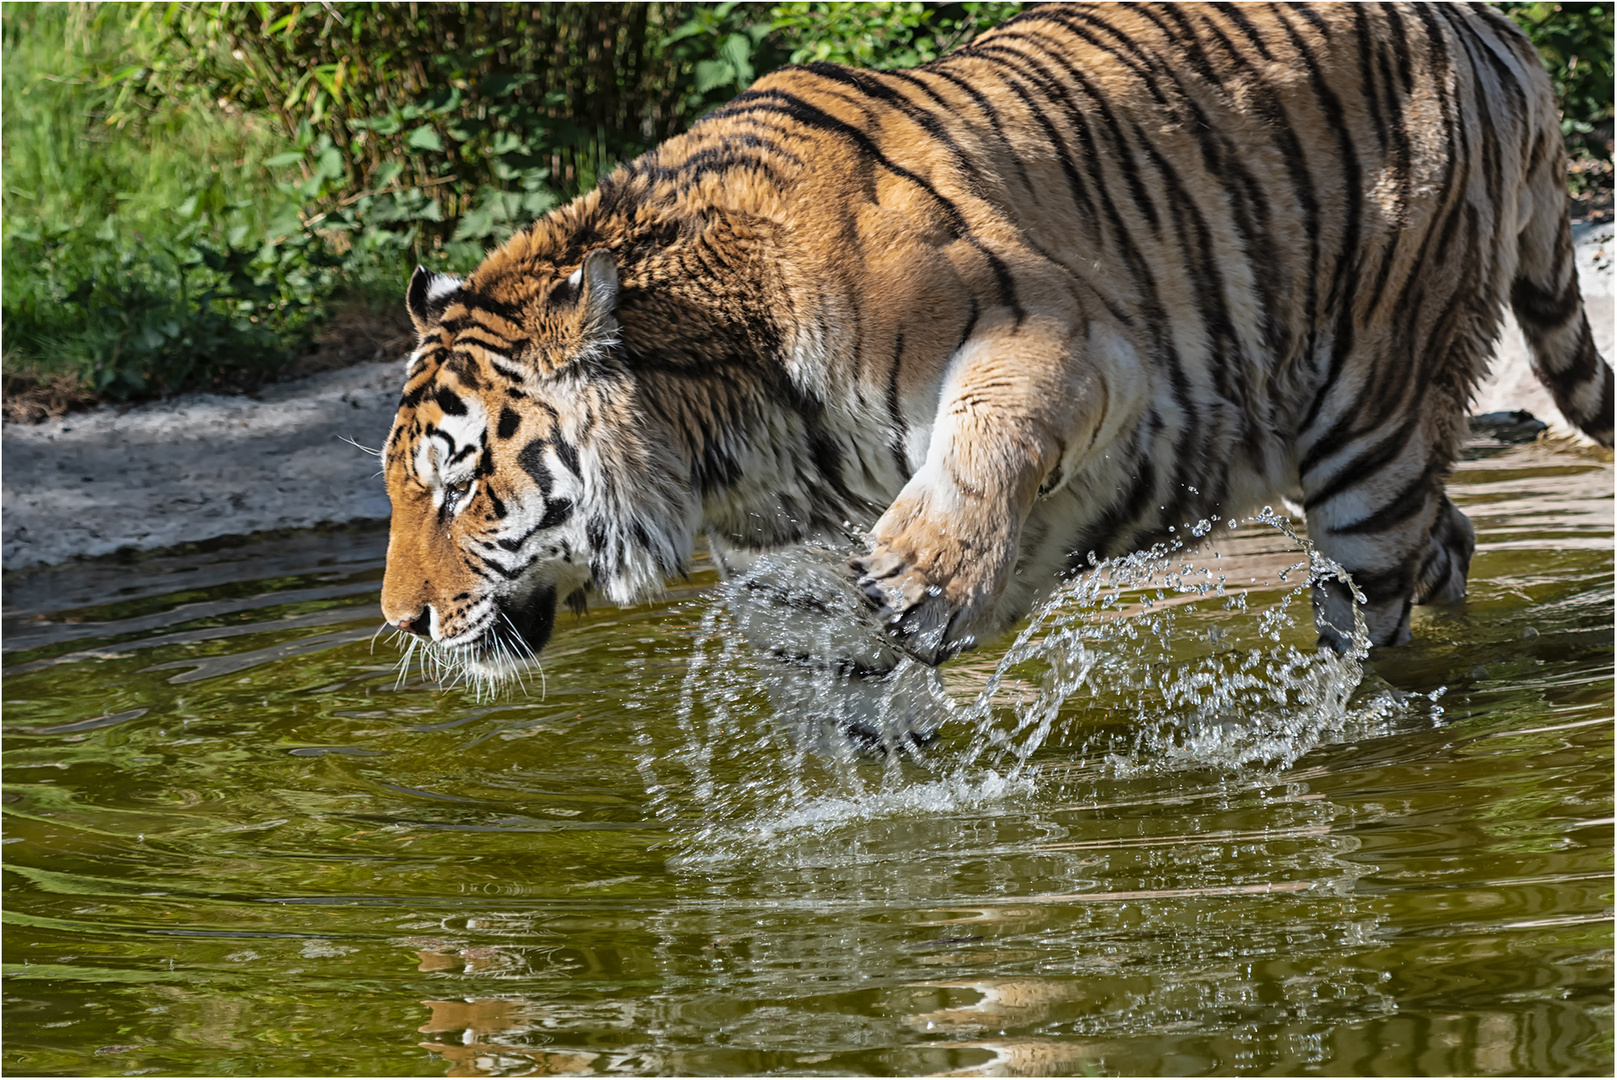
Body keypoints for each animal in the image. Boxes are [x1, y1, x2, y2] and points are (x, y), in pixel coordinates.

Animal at [375, 0, 1604, 691]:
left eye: (461, 486)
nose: (402, 622)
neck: (724, 434)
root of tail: (1484, 28)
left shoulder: (1066, 338)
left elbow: (986, 437)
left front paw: (923, 574)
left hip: (1369, 422)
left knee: (1376, 600)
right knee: (1449, 541)